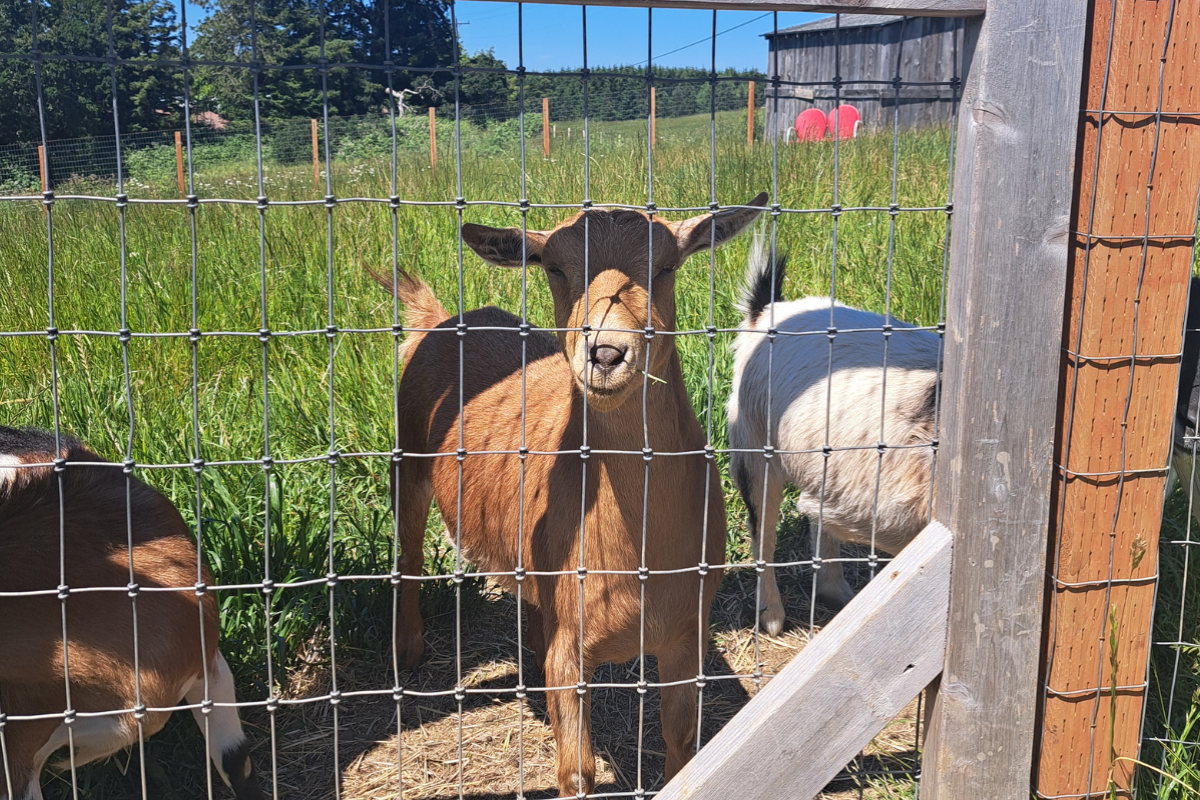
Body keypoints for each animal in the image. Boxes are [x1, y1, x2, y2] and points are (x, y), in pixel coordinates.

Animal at [377, 194, 767, 796]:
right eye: (554, 268)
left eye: (667, 267)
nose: (605, 353)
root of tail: (438, 318)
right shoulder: (572, 652)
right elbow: (576, 771)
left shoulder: (686, 632)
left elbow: (682, 740)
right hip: (409, 460)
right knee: (411, 551)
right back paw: (408, 647)